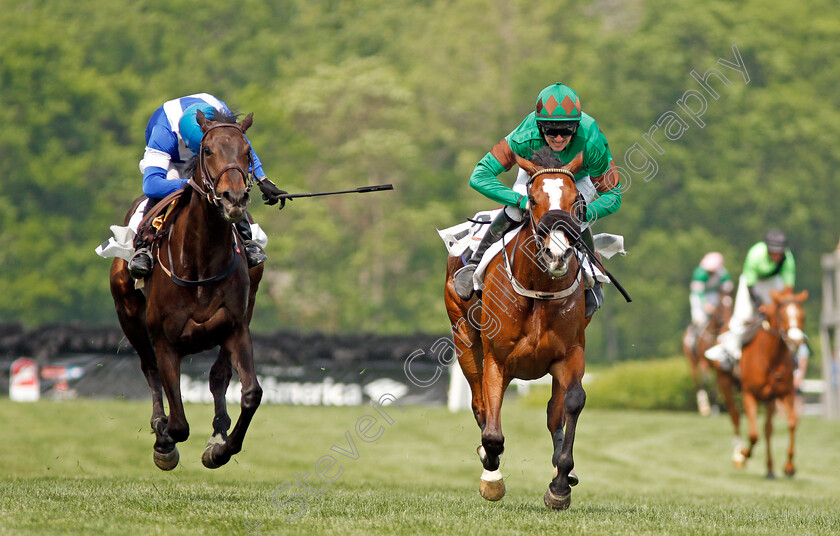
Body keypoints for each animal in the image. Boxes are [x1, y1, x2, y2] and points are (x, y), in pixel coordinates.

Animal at [110, 111, 262, 472]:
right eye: (207, 151)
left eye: (247, 152)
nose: (234, 199)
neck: (201, 260)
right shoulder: (165, 340)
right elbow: (178, 423)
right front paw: (164, 443)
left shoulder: (236, 327)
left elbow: (250, 393)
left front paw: (221, 448)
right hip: (128, 313)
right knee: (149, 369)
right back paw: (159, 427)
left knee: (219, 376)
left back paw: (218, 433)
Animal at [442, 149, 588, 508]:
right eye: (533, 200)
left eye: (576, 200)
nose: (557, 254)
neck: (538, 288)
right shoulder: (497, 360)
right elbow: (493, 431)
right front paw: (491, 476)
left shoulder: (569, 354)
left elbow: (572, 402)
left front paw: (560, 483)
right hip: (464, 339)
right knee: (479, 404)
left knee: (553, 412)